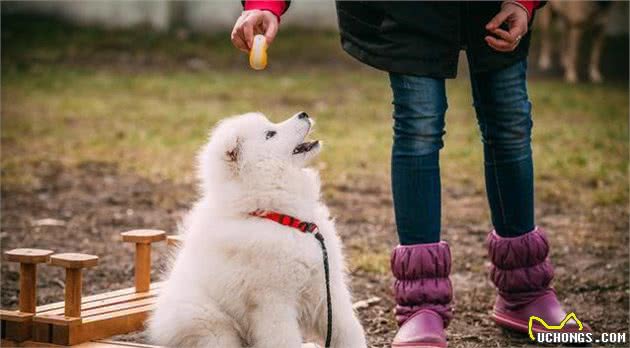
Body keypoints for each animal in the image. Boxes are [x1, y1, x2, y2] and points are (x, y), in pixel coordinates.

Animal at [149, 112, 368, 348]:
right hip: (210, 323)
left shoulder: (326, 287)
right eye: (270, 134)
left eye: (270, 125)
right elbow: (285, 340)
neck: (283, 218)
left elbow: (347, 328)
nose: (304, 114)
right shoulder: (273, 301)